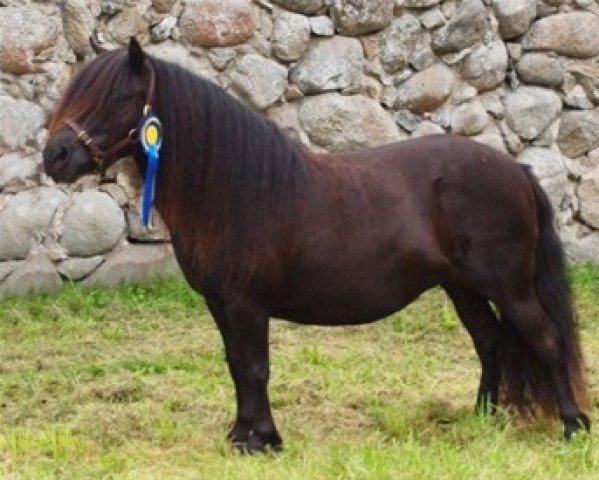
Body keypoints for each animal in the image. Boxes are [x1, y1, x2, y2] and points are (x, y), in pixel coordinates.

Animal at [42, 39, 592, 452]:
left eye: (119, 97)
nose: (55, 156)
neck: (235, 188)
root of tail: (516, 170)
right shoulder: (221, 304)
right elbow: (237, 366)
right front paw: (241, 434)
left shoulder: (246, 304)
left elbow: (255, 367)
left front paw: (262, 440)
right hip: (462, 287)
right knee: (490, 341)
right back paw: (481, 418)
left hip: (508, 285)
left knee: (546, 341)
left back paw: (572, 426)